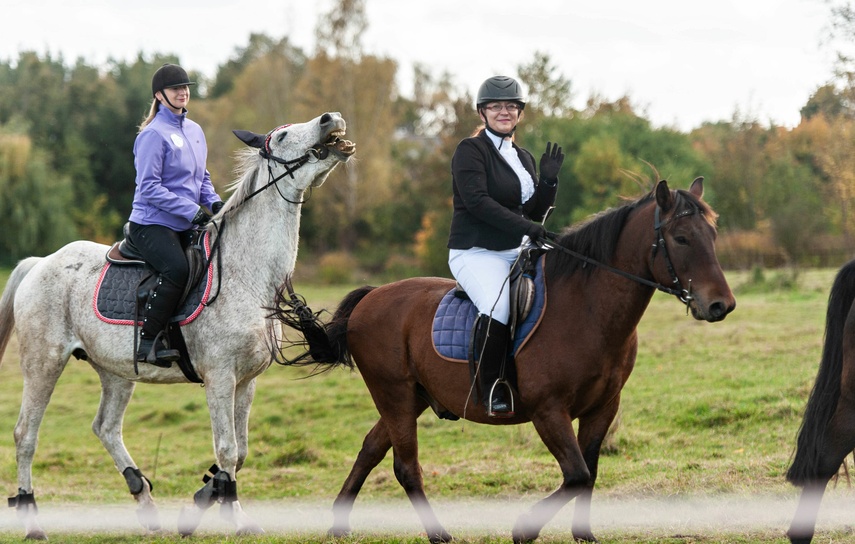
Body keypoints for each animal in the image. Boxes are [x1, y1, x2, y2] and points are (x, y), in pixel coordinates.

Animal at [290, 177, 740, 540]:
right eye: (681, 238)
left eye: (712, 235)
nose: (721, 305)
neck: (588, 309)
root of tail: (372, 296)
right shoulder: (549, 410)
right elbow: (576, 474)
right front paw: (524, 528)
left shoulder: (602, 408)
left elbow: (589, 473)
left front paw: (584, 536)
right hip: (395, 394)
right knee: (405, 466)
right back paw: (438, 535)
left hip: (410, 397)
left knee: (371, 448)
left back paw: (339, 525)